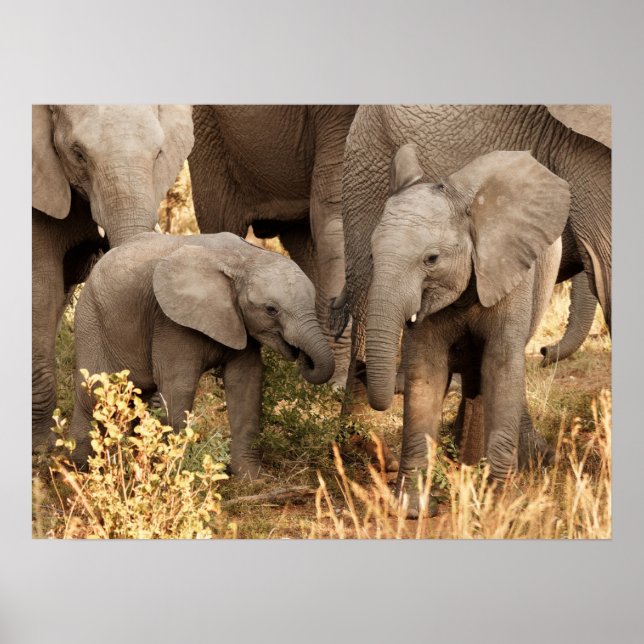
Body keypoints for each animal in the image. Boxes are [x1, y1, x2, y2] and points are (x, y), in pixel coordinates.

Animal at [68, 232, 335, 477]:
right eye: (271, 310)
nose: (302, 355)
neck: (243, 259)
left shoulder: (239, 322)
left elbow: (246, 384)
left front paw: (251, 479)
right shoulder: (170, 321)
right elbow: (179, 387)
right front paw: (175, 474)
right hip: (91, 321)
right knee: (94, 395)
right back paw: (83, 470)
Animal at [361, 146, 569, 516]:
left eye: (431, 259)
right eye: (372, 255)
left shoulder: (509, 270)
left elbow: (501, 366)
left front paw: (497, 506)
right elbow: (425, 372)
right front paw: (411, 509)